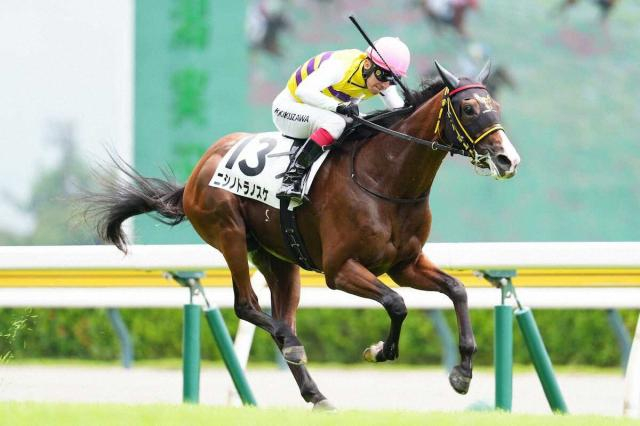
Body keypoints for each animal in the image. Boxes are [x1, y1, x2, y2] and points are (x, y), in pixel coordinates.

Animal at [86, 62, 520, 409]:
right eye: (468, 108)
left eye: (496, 108)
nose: (507, 159)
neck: (385, 179)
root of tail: (197, 170)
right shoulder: (340, 269)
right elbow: (396, 304)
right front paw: (381, 350)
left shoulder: (405, 264)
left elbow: (457, 291)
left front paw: (463, 373)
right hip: (229, 234)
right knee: (249, 307)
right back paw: (293, 345)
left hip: (279, 260)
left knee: (282, 316)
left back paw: (316, 393)